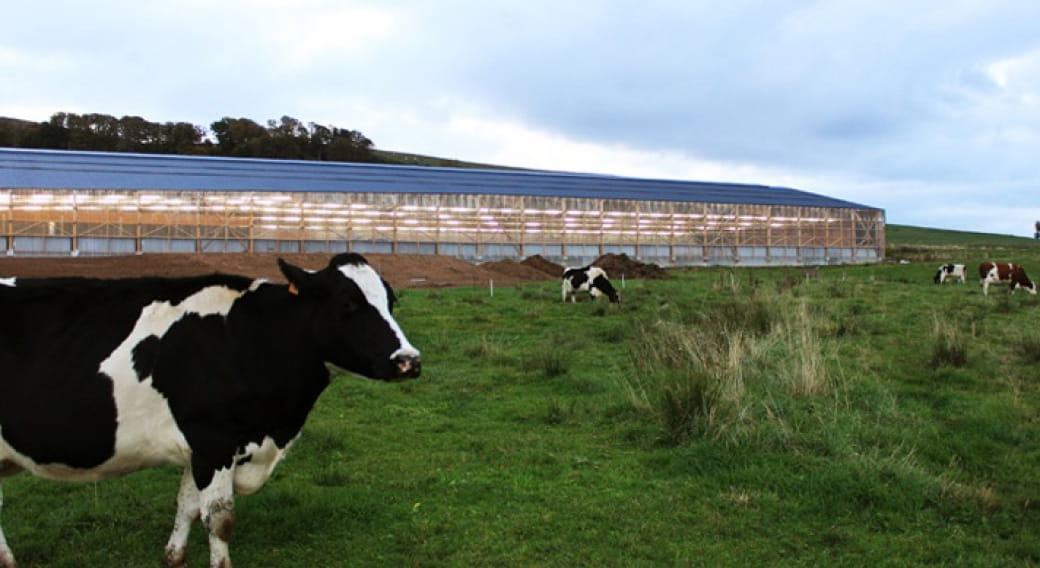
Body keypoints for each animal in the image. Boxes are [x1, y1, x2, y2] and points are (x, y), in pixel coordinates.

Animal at [1, 252, 422, 565]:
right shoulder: (213, 441)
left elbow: (187, 505)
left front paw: (173, 556)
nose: (409, 360)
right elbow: (219, 518)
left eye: (391, 300)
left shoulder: (200, 449)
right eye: (349, 303)